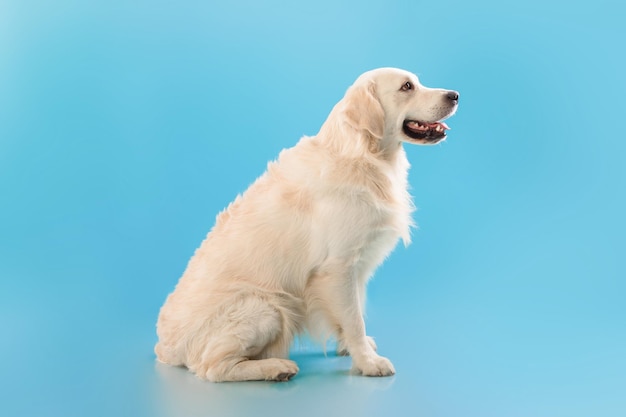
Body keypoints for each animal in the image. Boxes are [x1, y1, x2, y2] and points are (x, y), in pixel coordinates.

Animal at [155, 67, 458, 380]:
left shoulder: (357, 268)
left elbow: (354, 313)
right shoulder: (338, 267)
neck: (364, 155)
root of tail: (166, 348)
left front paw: (352, 349)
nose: (455, 95)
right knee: (214, 368)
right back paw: (276, 368)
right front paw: (368, 362)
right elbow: (354, 320)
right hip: (268, 306)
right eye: (407, 87)